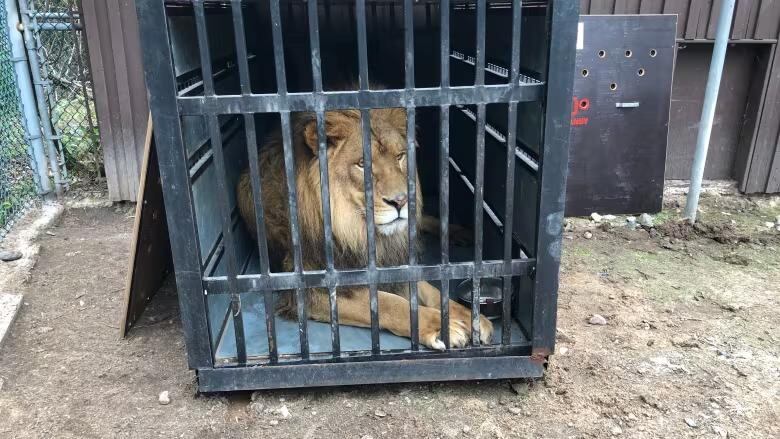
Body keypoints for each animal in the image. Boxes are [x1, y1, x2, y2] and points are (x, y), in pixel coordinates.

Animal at [236, 107, 494, 350]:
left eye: (399, 156)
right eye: (362, 164)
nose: (401, 200)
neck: (355, 230)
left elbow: (430, 289)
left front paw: (470, 317)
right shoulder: (311, 290)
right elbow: (391, 303)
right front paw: (442, 327)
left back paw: (460, 232)